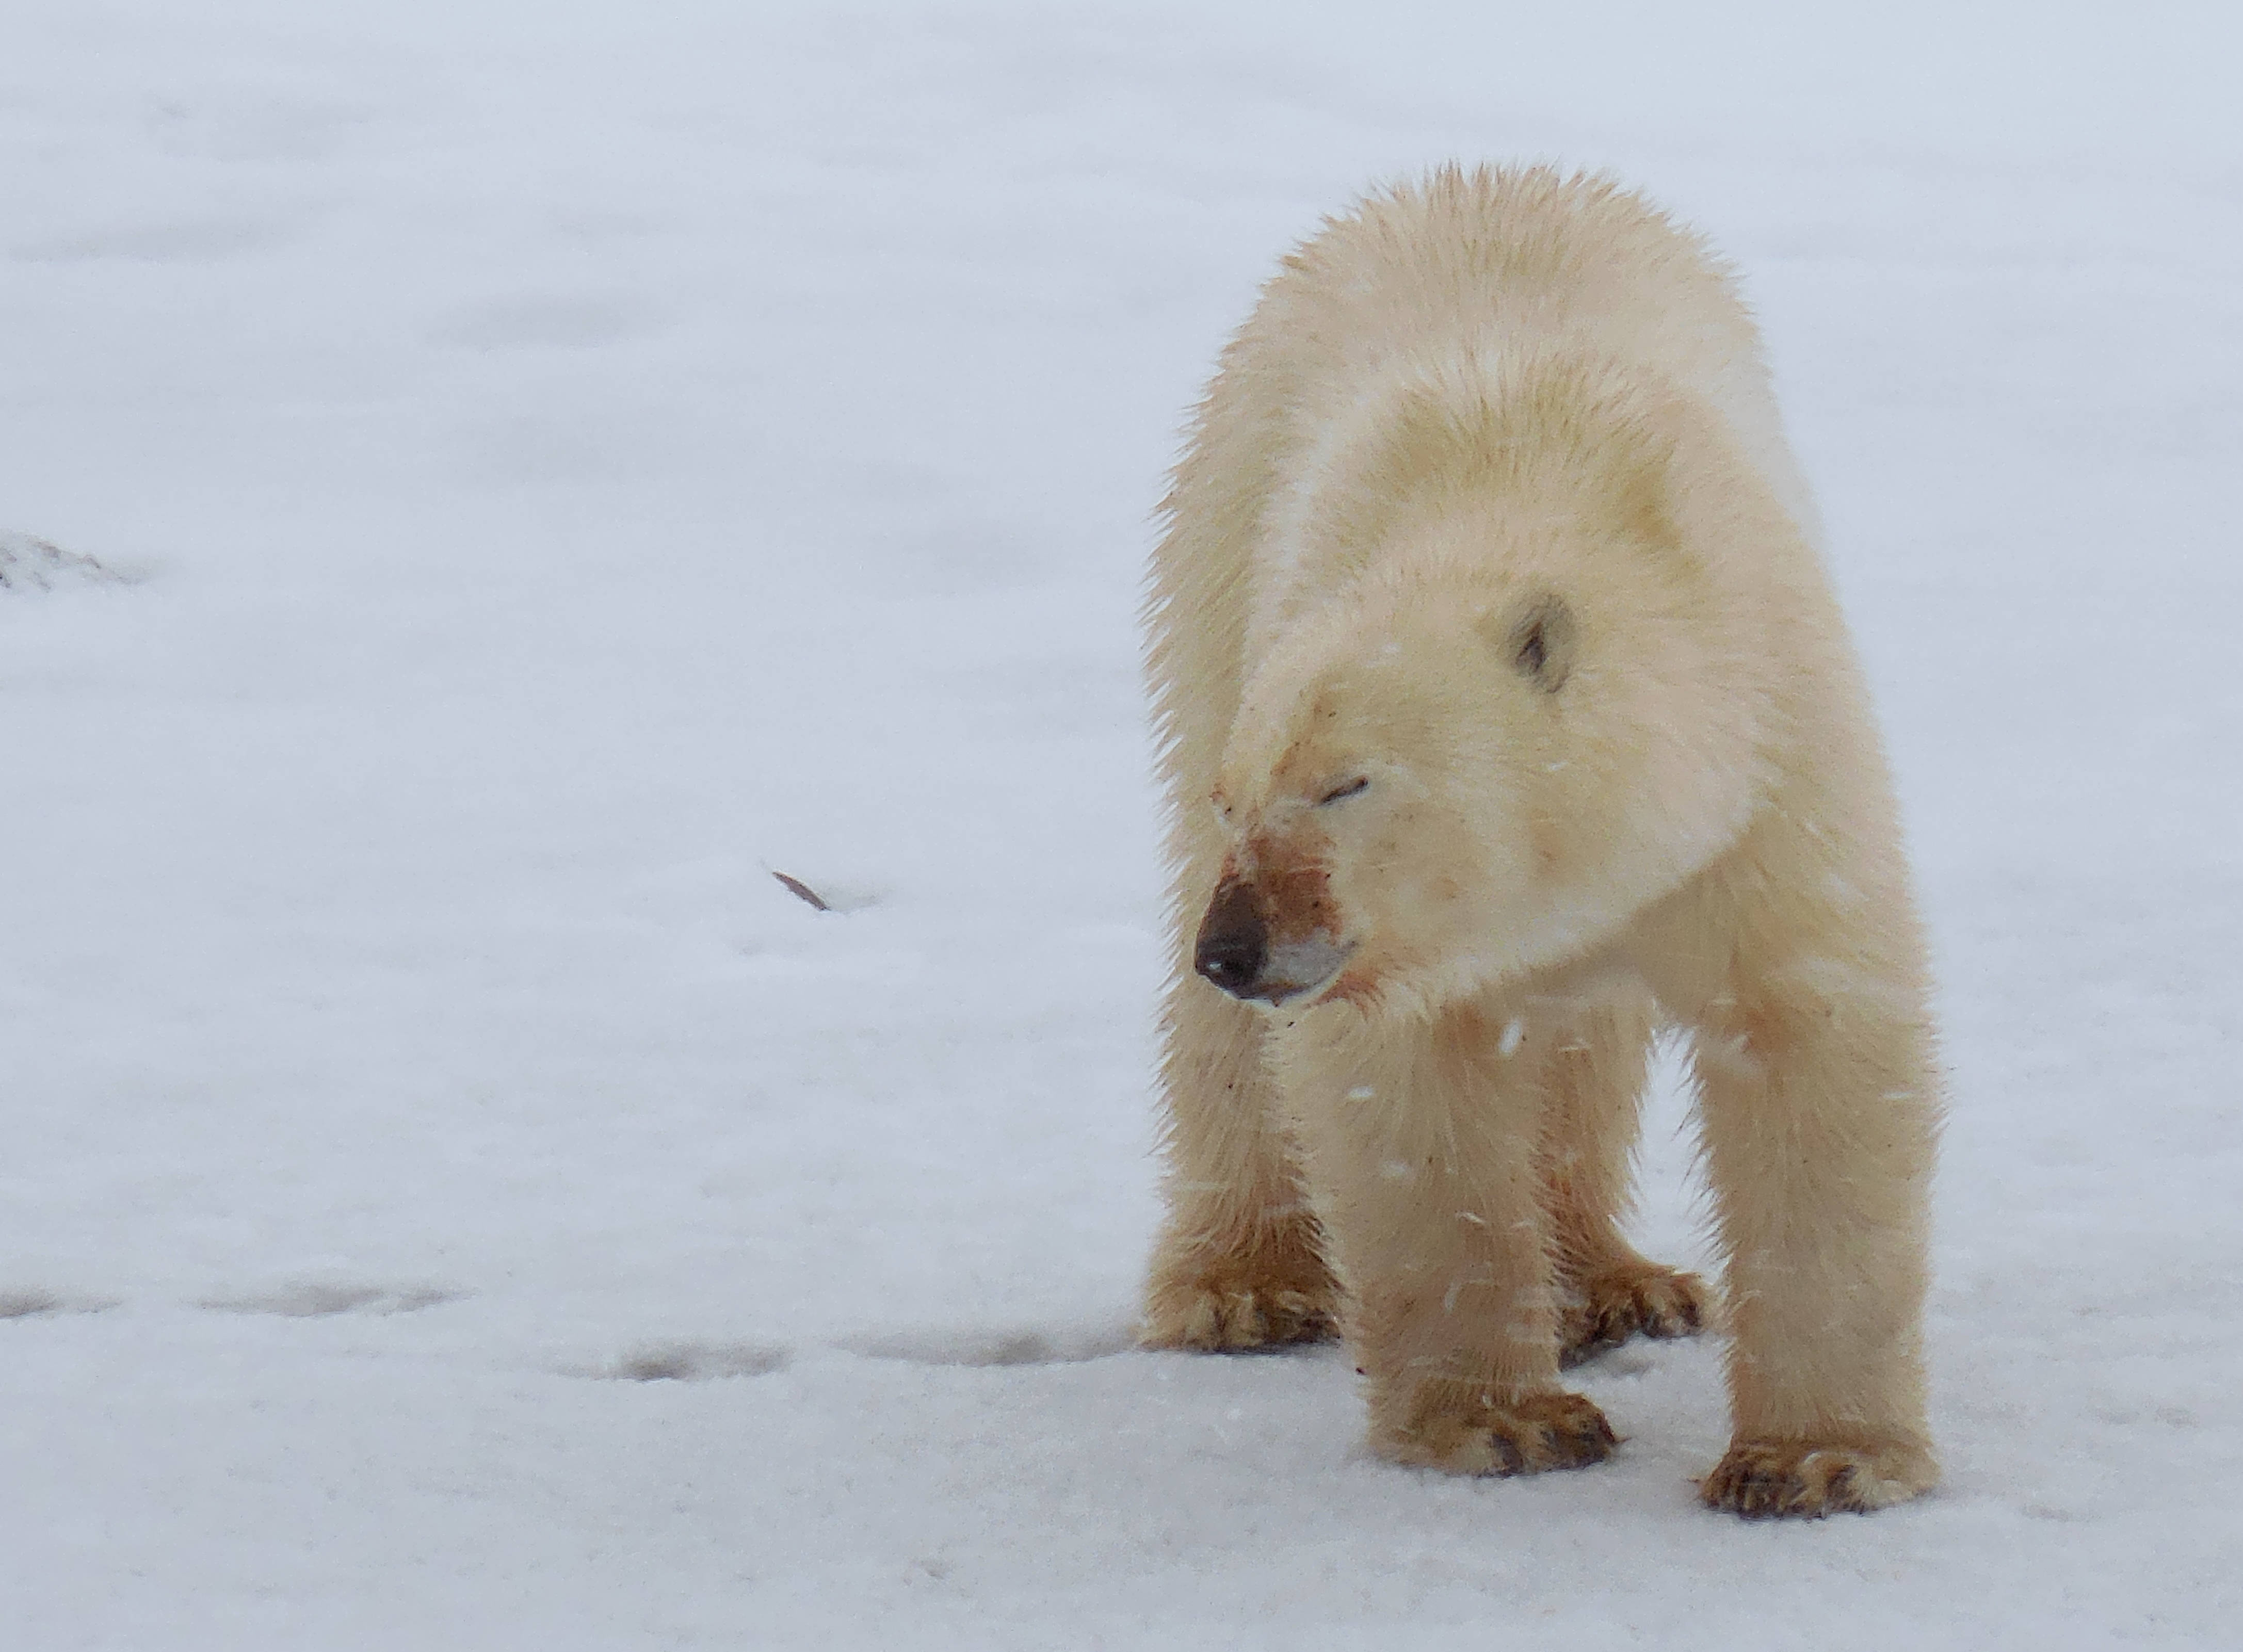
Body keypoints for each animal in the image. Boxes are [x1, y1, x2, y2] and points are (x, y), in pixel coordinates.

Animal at [1139, 165, 1940, 1519]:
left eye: (1349, 783)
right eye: (1238, 798)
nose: (1237, 948)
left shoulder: (1764, 768)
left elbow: (1810, 1039)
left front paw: (1818, 1459)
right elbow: (1410, 1101)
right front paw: (1505, 1421)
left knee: (1584, 1037)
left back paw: (1615, 1280)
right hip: (1216, 535)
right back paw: (1243, 1284)